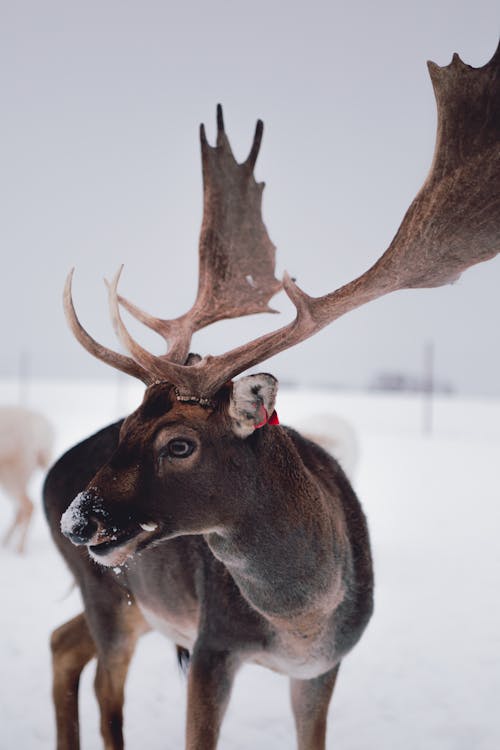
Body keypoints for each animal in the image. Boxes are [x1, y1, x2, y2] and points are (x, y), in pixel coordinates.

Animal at [45, 47, 498, 750]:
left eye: (180, 444)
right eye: (125, 429)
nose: (76, 519)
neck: (301, 620)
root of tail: (46, 478)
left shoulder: (322, 666)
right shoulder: (212, 645)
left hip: (132, 601)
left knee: (64, 645)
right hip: (108, 593)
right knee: (99, 683)